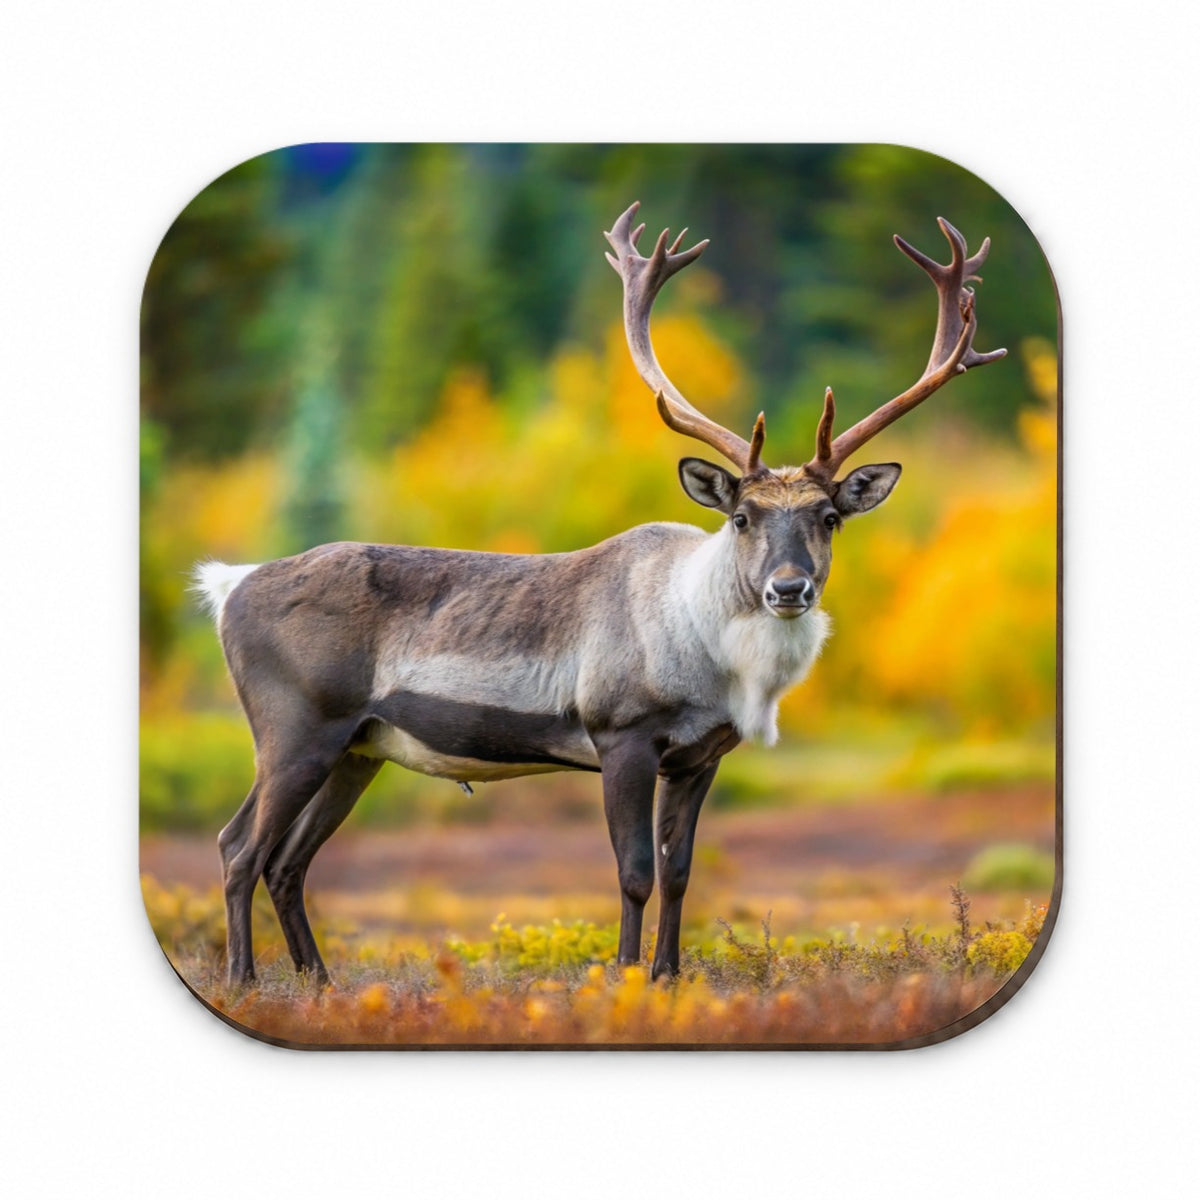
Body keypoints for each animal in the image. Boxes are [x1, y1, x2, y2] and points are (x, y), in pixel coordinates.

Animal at [196, 201, 1005, 987]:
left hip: (360, 747)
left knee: (288, 861)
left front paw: (669, 978)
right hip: (295, 727)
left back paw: (320, 983)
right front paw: (623, 976)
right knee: (239, 846)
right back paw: (243, 980)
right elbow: (635, 872)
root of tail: (229, 586)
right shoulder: (622, 734)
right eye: (742, 516)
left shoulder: (701, 756)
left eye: (830, 517)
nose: (788, 588)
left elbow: (679, 874)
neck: (712, 659)